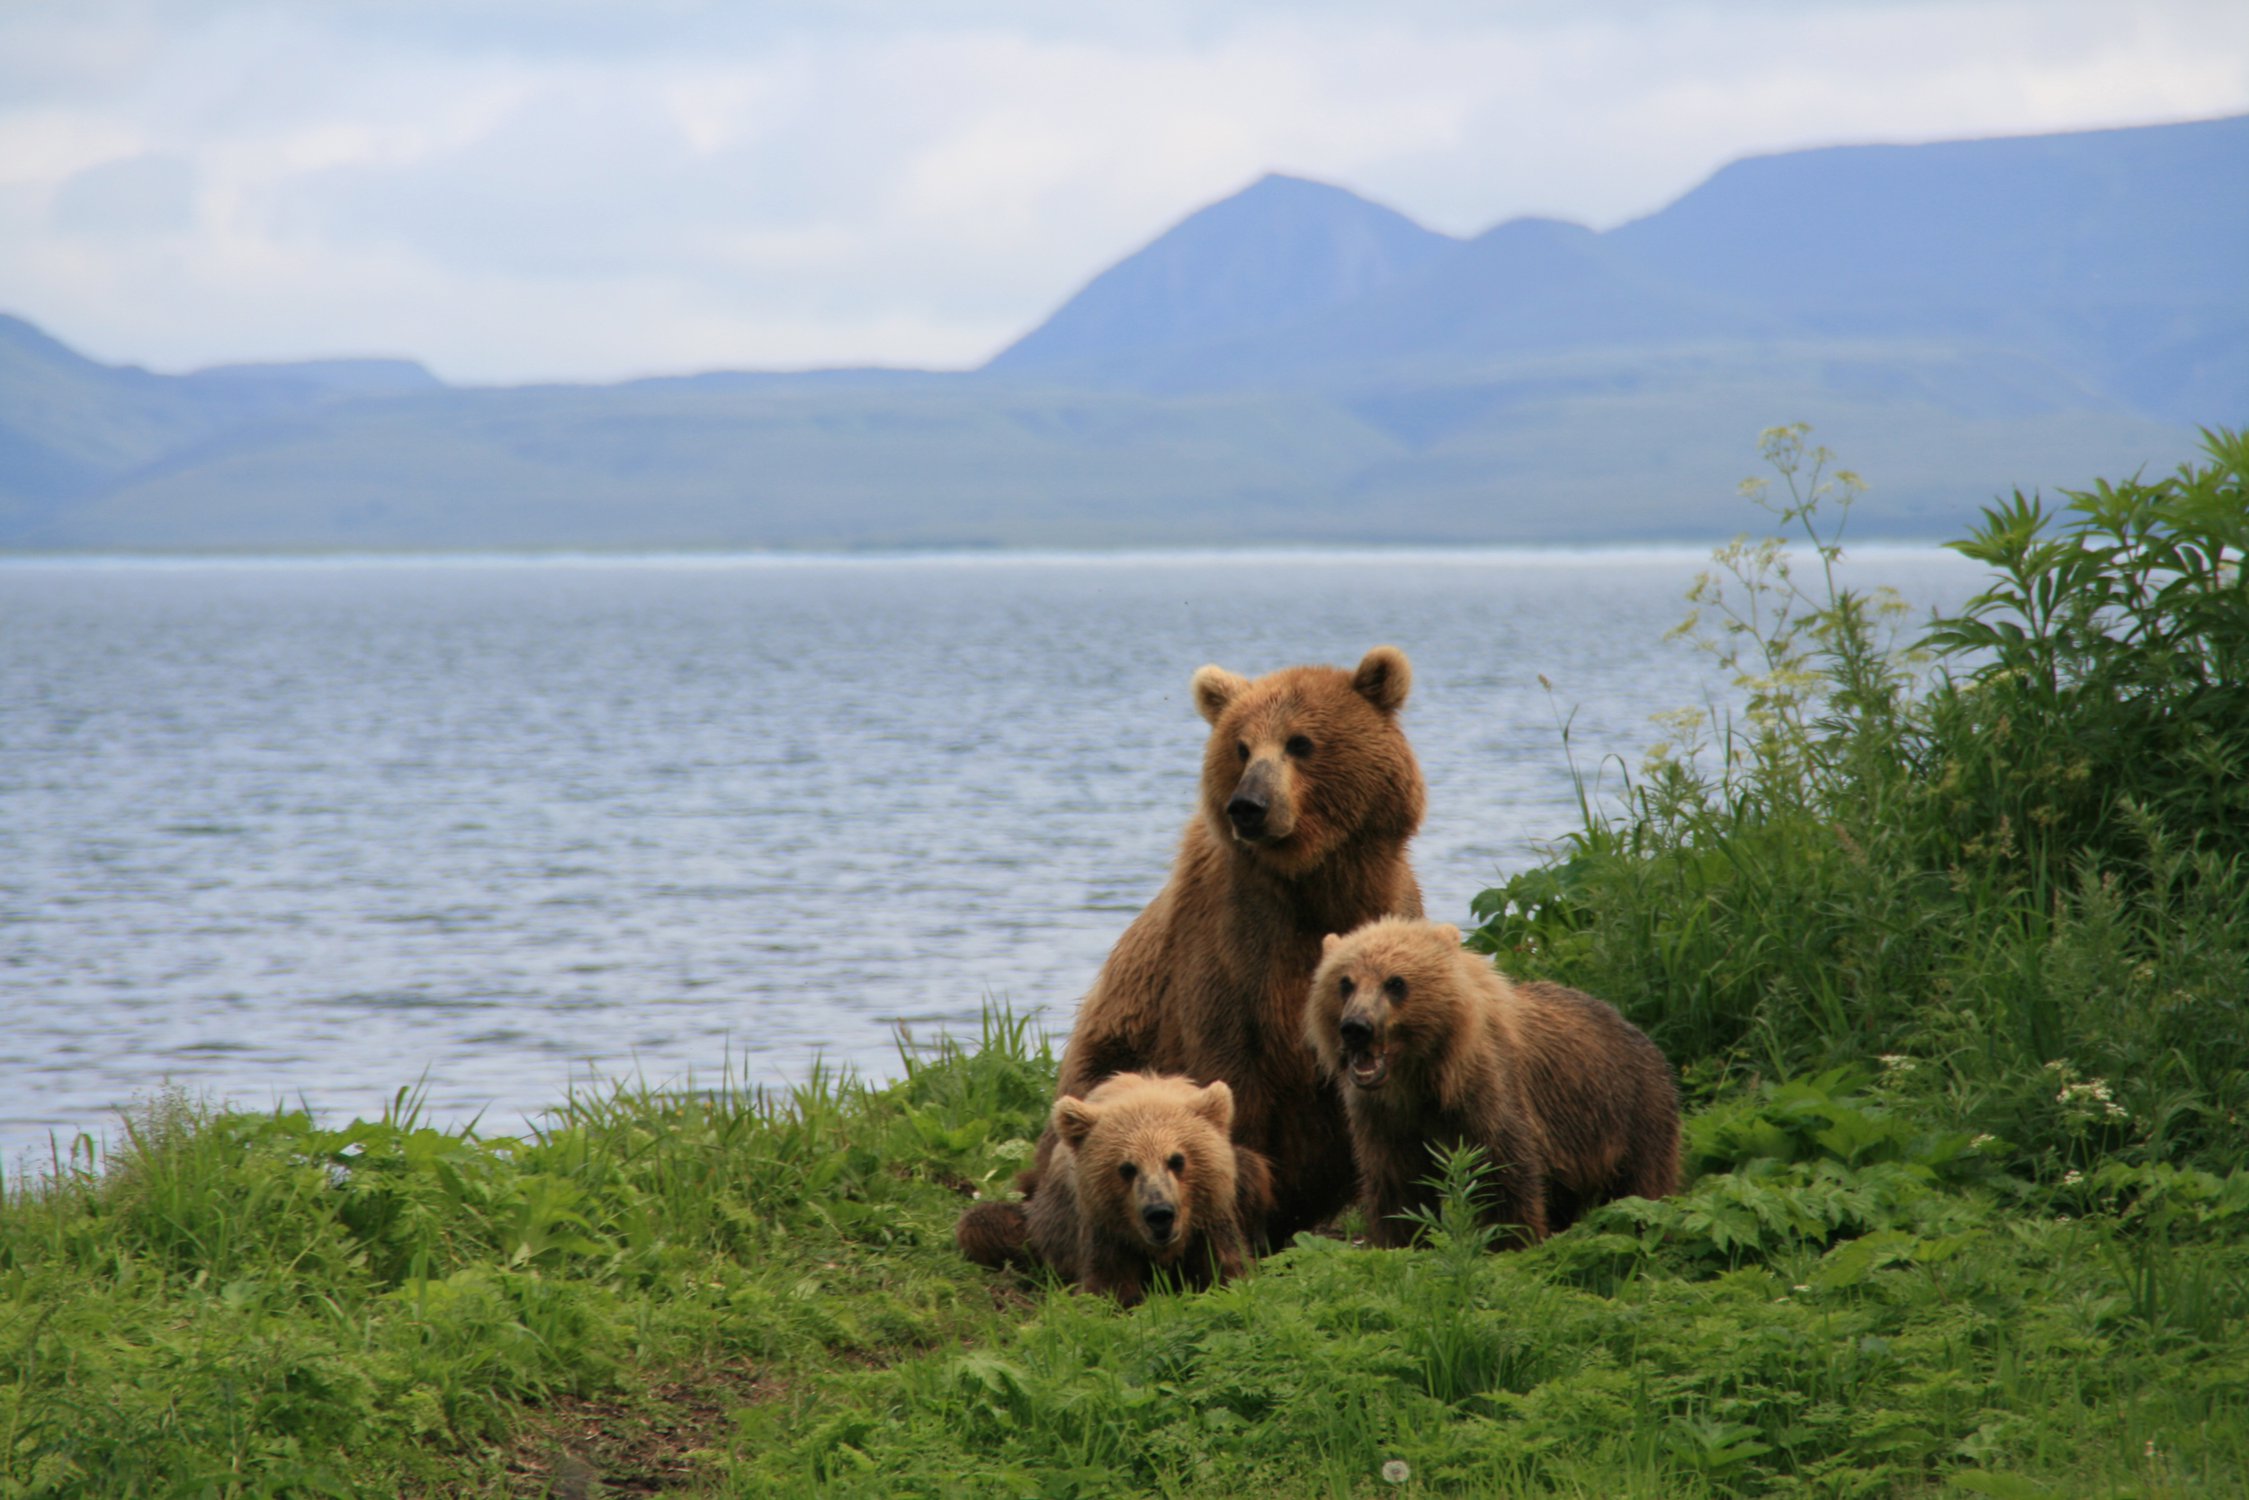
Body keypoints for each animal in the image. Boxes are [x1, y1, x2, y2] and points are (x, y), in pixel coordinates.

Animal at [1304, 922, 1673, 1250]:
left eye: (1395, 982)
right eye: (1345, 983)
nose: (1356, 1027)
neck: (1420, 1080)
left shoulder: (1487, 1097)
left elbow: (1503, 1178)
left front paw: (1511, 1242)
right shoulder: (1385, 1121)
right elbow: (1398, 1189)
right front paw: (1402, 1241)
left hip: (1630, 1114)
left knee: (1642, 1189)